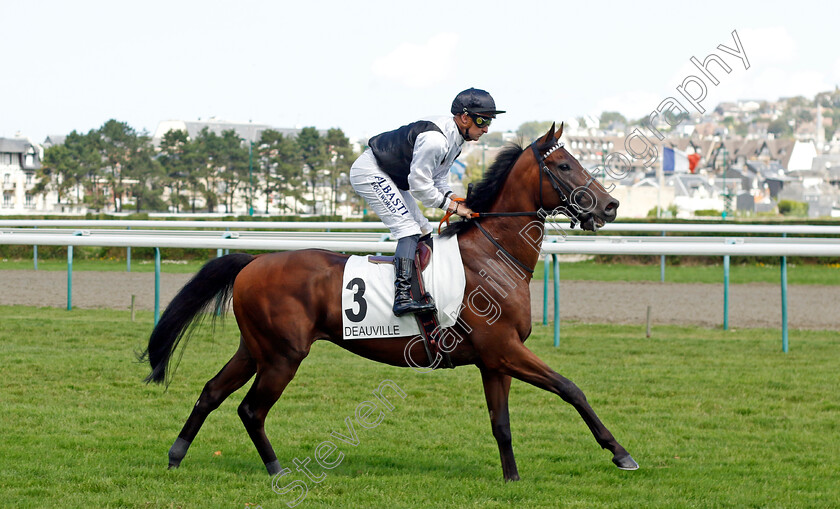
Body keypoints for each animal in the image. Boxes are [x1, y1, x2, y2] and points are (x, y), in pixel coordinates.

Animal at [143, 122, 636, 480]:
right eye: (566, 166)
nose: (610, 206)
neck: (494, 254)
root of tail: (252, 262)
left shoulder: (495, 360)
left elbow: (502, 424)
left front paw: (512, 479)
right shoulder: (504, 349)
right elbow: (570, 388)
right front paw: (621, 453)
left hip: (255, 348)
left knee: (211, 392)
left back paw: (176, 454)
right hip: (283, 355)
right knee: (251, 409)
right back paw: (276, 469)